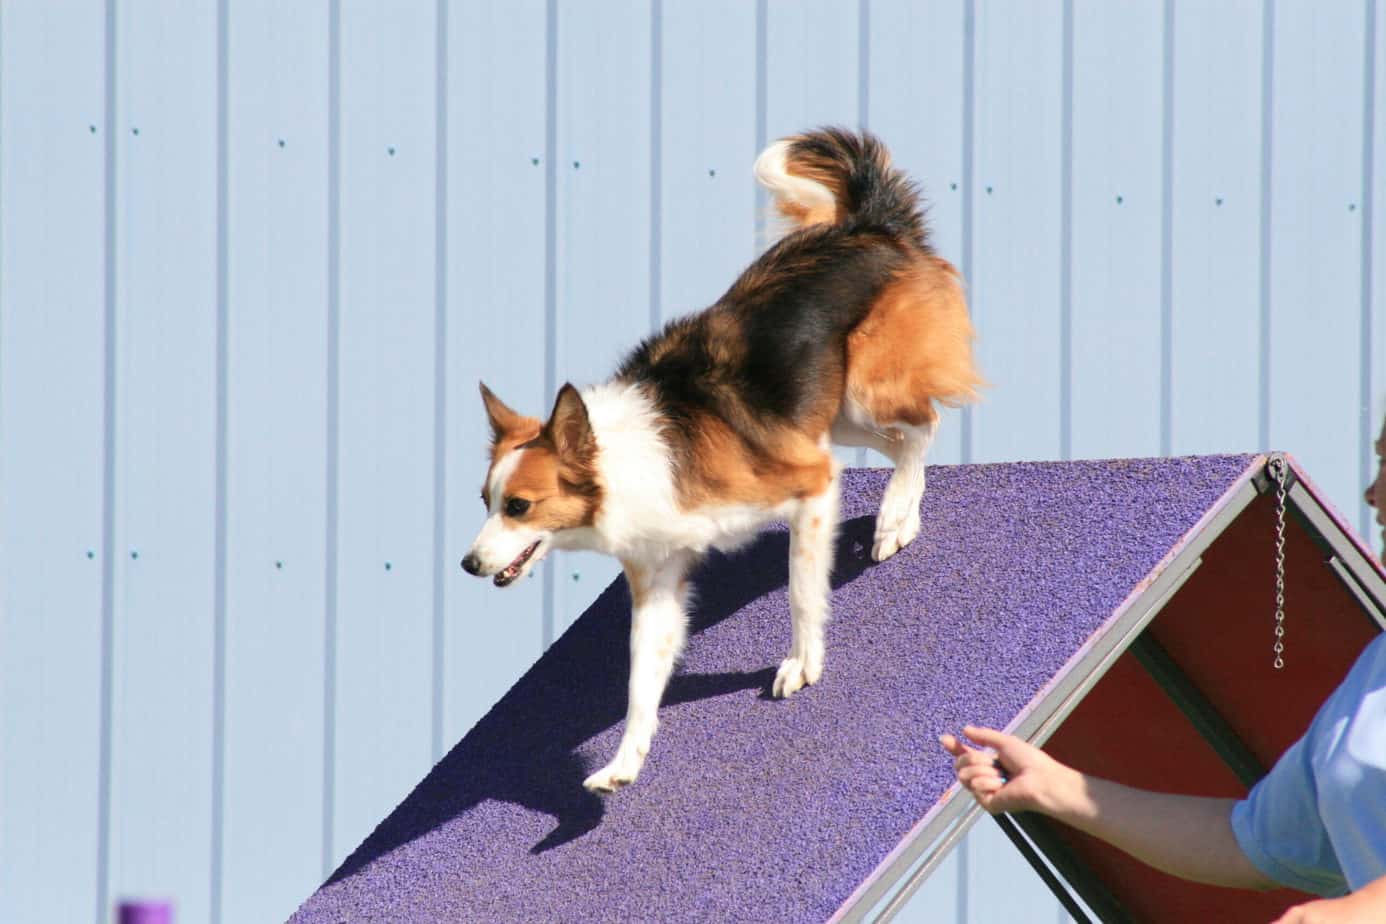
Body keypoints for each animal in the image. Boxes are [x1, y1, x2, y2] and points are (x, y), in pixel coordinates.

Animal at [460, 128, 981, 797]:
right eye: (485, 502)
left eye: (519, 506)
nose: (469, 564)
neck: (627, 463)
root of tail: (870, 225)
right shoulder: (658, 582)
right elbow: (639, 683)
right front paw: (624, 762)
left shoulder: (812, 484)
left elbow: (801, 592)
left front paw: (802, 662)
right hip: (831, 413)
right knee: (906, 436)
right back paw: (900, 513)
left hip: (864, 389)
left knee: (924, 426)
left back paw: (894, 518)